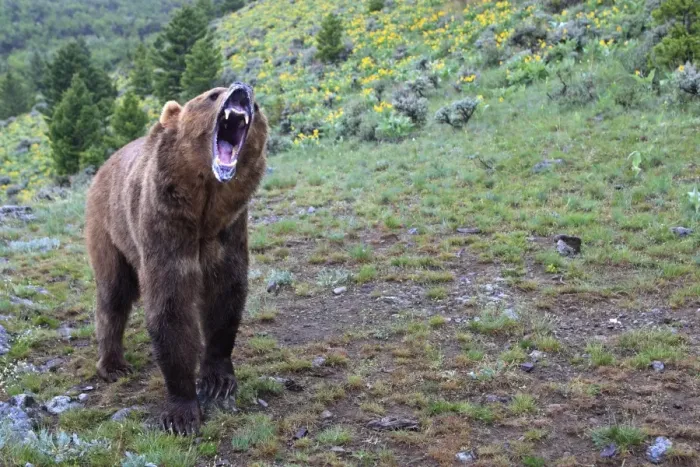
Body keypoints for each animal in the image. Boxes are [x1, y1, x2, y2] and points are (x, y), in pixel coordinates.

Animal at [85, 82, 268, 434]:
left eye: (258, 106)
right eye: (213, 94)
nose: (242, 90)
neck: (204, 207)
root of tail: (105, 163)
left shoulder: (227, 231)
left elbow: (225, 297)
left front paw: (217, 380)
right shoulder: (165, 225)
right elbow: (171, 306)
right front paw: (182, 412)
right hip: (109, 227)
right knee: (113, 294)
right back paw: (113, 365)